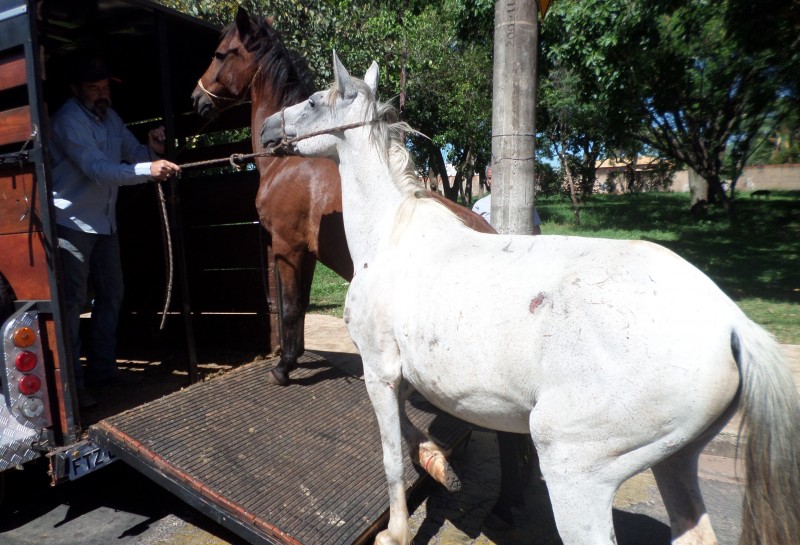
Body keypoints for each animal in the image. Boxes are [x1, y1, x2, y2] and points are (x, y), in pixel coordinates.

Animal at [191, 8, 536, 528]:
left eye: (219, 53)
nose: (196, 99)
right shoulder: (303, 254)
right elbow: (297, 307)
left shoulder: (287, 248)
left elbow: (288, 308)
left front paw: (283, 368)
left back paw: (503, 505)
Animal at [264, 52, 800, 544]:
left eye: (312, 101)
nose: (268, 129)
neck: (390, 236)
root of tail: (732, 324)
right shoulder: (400, 375)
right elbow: (412, 433)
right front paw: (440, 465)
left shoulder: (379, 371)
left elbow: (393, 456)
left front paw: (394, 531)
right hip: (676, 462)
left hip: (573, 468)